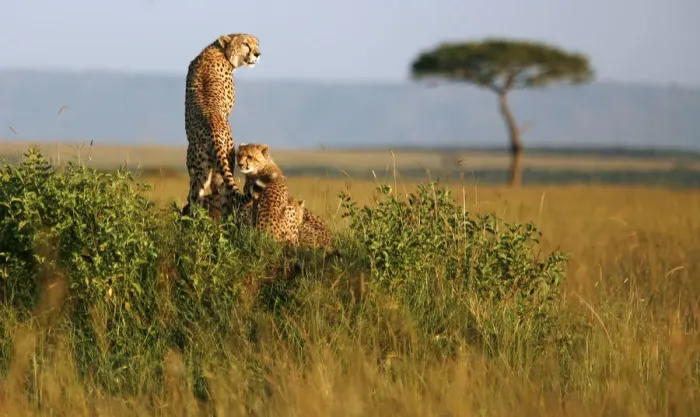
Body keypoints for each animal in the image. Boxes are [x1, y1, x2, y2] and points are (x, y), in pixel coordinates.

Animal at [184, 33, 261, 216]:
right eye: (246, 44)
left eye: (257, 44)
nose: (258, 54)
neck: (219, 50)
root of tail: (214, 132)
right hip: (223, 166)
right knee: (225, 197)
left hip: (199, 170)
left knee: (195, 199)